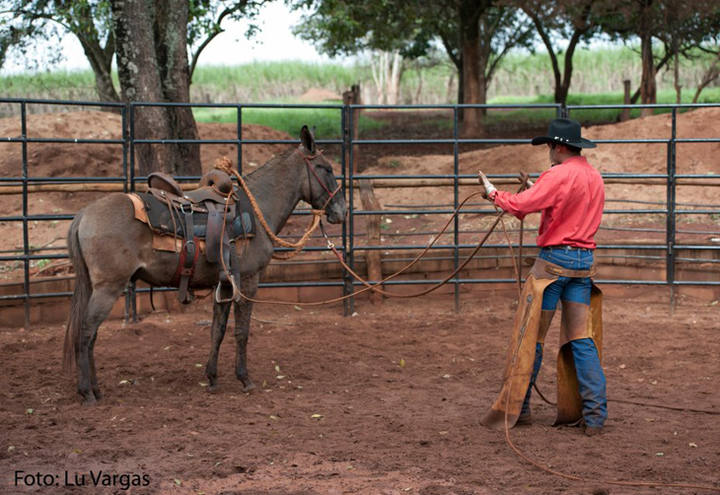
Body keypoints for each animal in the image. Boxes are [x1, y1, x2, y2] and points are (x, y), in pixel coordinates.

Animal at [62, 126, 346, 404]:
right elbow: (242, 331)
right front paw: (245, 379)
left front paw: (212, 378)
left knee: (91, 335)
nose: (341, 211)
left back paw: (95, 389)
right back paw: (87, 392)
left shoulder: (226, 284)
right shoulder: (248, 281)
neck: (256, 211)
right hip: (108, 288)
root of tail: (84, 214)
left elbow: (217, 330)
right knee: (86, 332)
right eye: (326, 168)